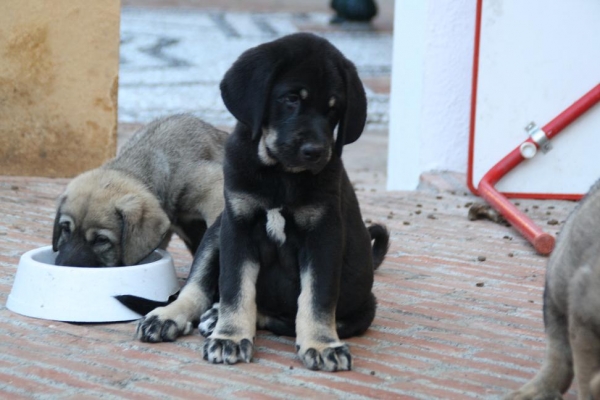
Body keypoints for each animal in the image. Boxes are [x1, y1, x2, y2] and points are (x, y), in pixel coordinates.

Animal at [132, 33, 390, 372]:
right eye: (291, 99)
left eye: (334, 109)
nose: (316, 152)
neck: (280, 174)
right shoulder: (237, 227)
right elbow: (235, 287)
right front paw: (229, 337)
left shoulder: (323, 236)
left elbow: (316, 298)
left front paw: (322, 344)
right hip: (216, 230)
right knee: (196, 288)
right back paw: (170, 317)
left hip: (362, 309)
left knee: (284, 316)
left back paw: (216, 316)